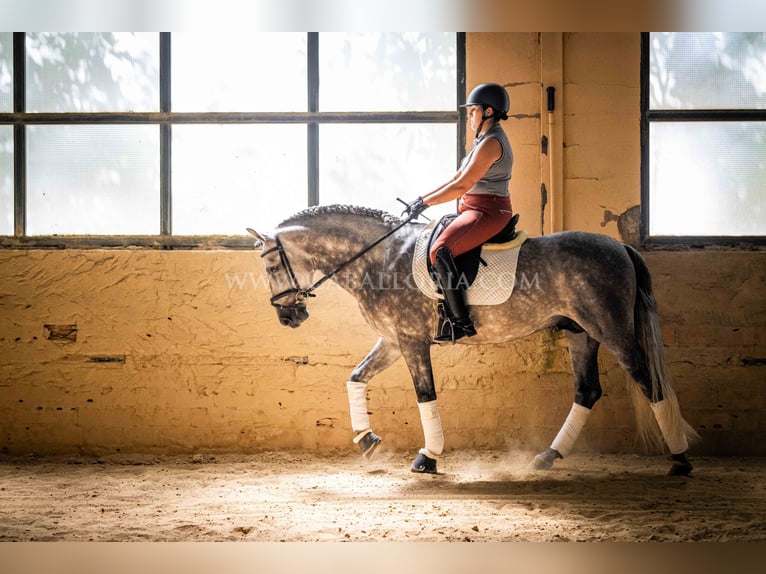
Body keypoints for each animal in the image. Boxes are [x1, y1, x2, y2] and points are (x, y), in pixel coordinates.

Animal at [248, 206, 704, 476]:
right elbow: (355, 378)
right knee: (587, 391)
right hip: (581, 334)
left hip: (612, 331)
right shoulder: (393, 340)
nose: (288, 317)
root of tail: (621, 246)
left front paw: (428, 456)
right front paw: (367, 440)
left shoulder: (411, 342)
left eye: (271, 267)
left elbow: (425, 396)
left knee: (650, 383)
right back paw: (547, 457)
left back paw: (680, 460)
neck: (379, 257)